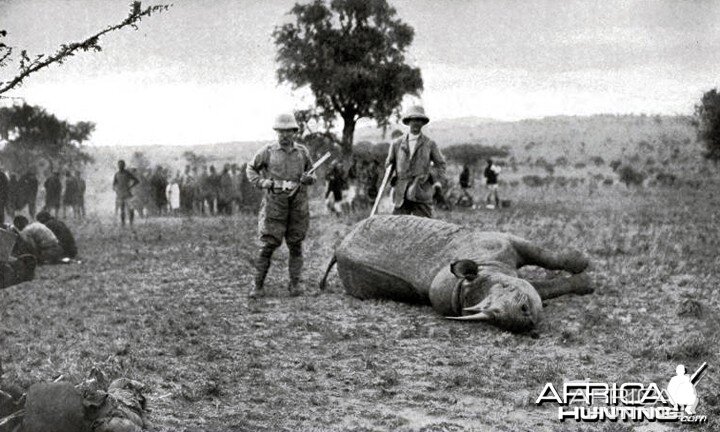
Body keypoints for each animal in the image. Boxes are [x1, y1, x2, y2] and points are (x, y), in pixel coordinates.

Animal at [320, 214, 592, 332]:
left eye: (507, 289)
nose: (522, 319)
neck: (487, 268)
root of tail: (339, 247)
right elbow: (543, 288)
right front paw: (587, 283)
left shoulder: (503, 242)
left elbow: (545, 256)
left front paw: (583, 262)